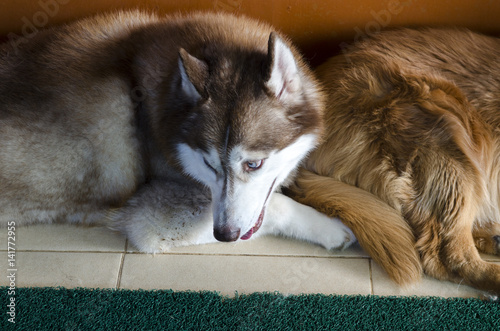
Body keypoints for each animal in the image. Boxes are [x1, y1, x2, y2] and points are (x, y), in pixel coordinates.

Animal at [0, 11, 354, 254]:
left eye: (253, 164)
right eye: (209, 164)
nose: (224, 235)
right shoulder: (150, 217)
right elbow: (278, 207)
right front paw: (332, 228)